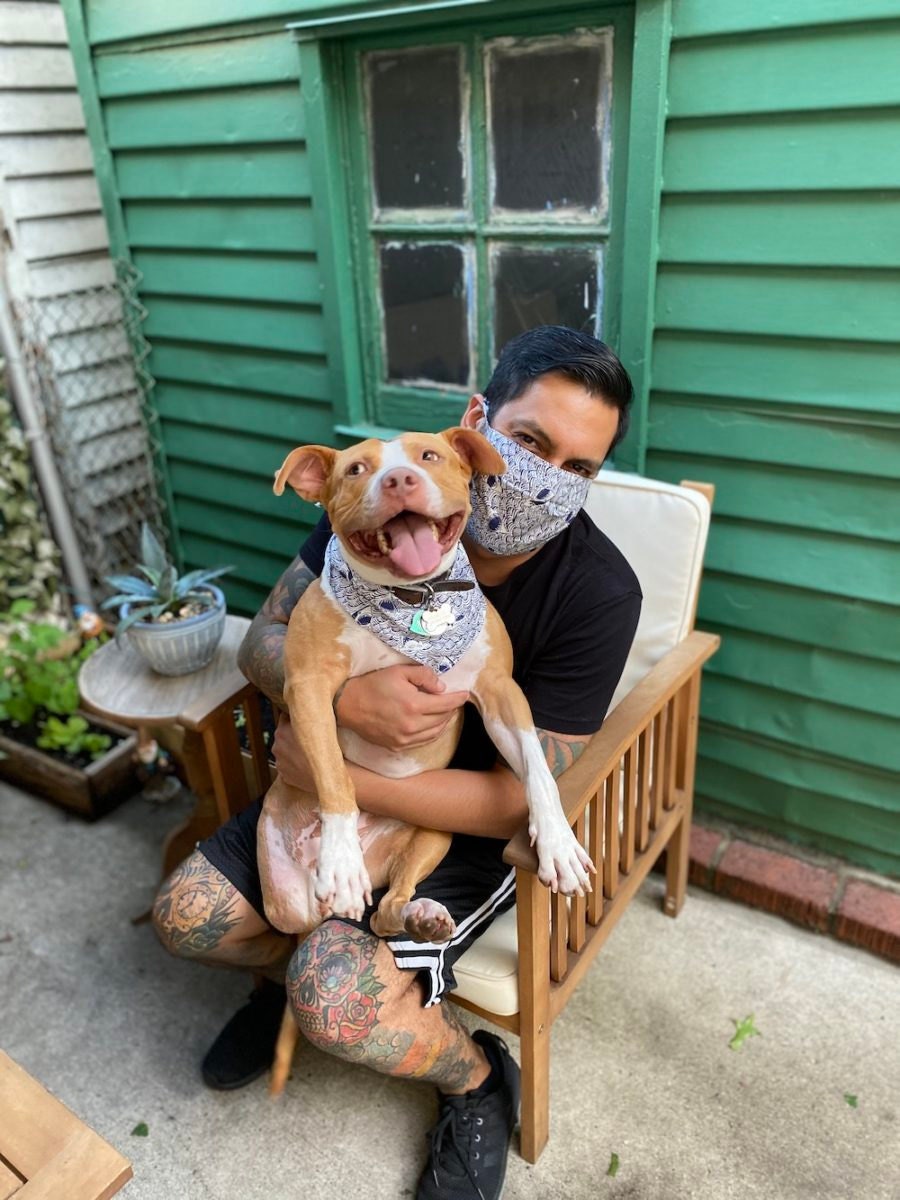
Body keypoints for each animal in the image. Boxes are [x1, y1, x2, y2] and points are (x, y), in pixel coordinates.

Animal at [259, 424, 600, 945]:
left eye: (429, 456)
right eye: (355, 469)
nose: (399, 479)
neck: (412, 597)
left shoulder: (501, 693)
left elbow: (538, 768)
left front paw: (559, 843)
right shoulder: (309, 686)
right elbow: (335, 775)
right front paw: (340, 861)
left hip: (432, 834)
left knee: (386, 910)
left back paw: (419, 917)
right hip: (283, 903)